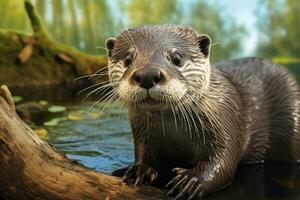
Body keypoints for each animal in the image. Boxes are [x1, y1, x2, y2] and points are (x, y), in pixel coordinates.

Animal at [103, 24, 300, 199]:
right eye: (128, 59)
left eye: (176, 58)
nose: (147, 75)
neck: (176, 134)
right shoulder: (142, 132)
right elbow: (143, 152)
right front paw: (138, 170)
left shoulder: (226, 117)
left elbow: (225, 161)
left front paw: (192, 180)